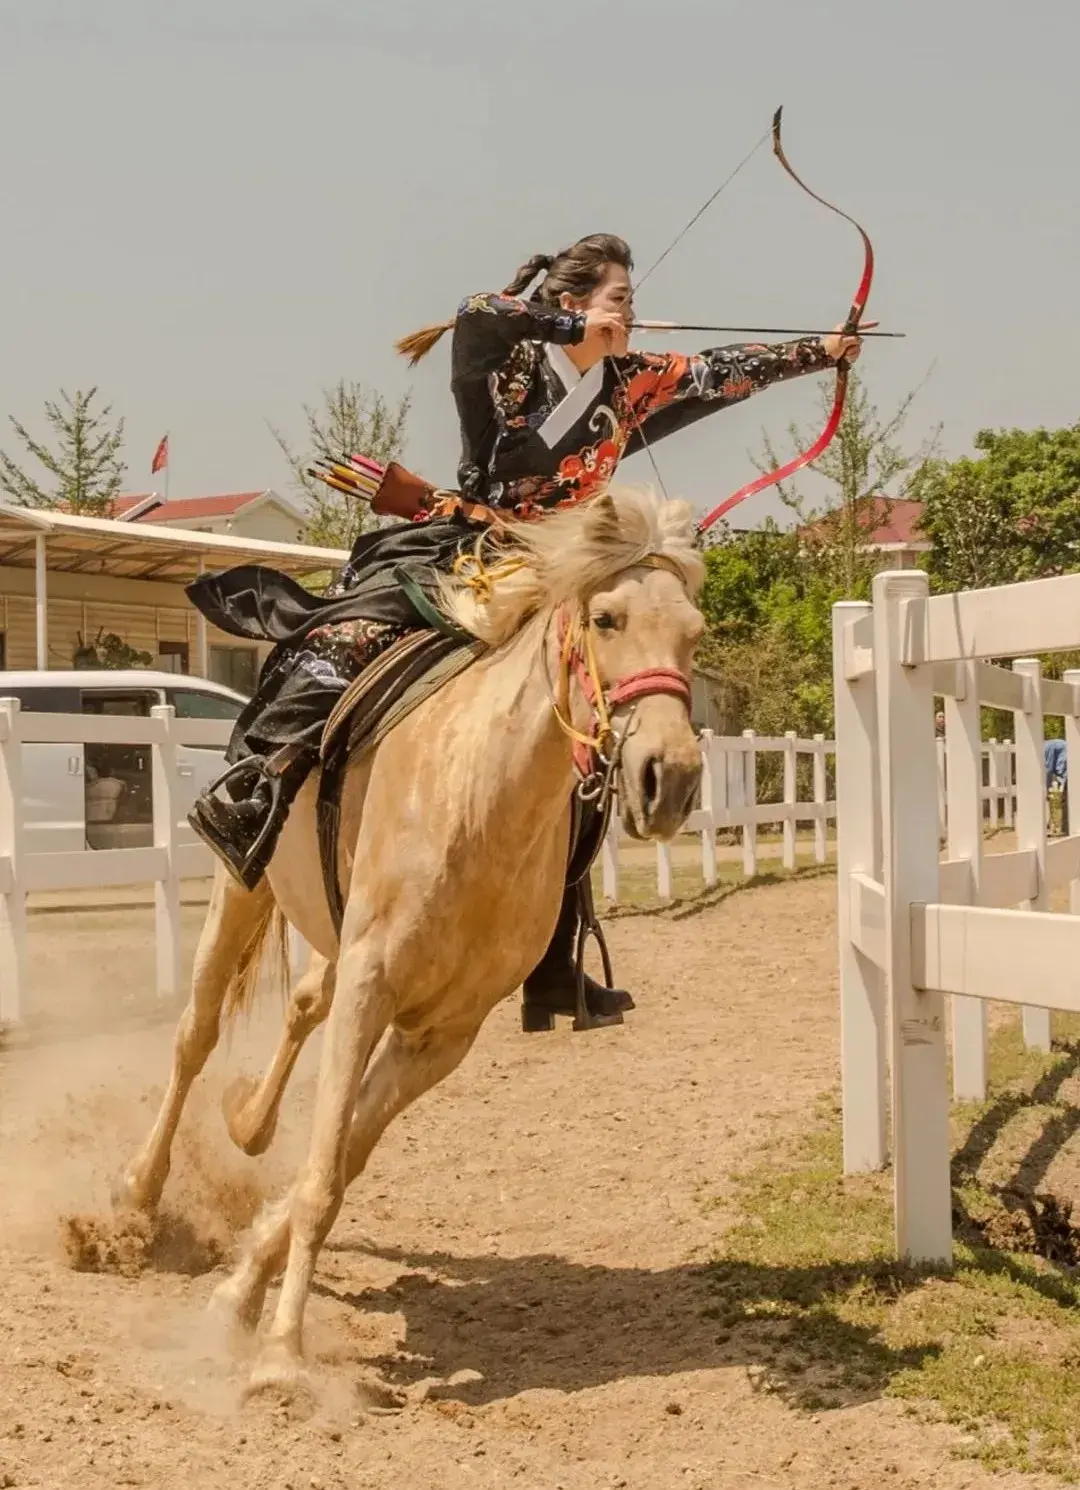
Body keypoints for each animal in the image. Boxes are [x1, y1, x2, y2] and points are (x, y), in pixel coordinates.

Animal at [119, 485, 709, 1382]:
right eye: (607, 619)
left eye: (694, 632)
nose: (668, 780)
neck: (476, 803)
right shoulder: (372, 985)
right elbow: (322, 1172)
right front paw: (282, 1355)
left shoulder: (441, 1034)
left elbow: (337, 1163)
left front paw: (241, 1299)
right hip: (243, 887)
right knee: (196, 1034)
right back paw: (135, 1202)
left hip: (335, 938)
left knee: (298, 1007)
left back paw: (247, 1123)